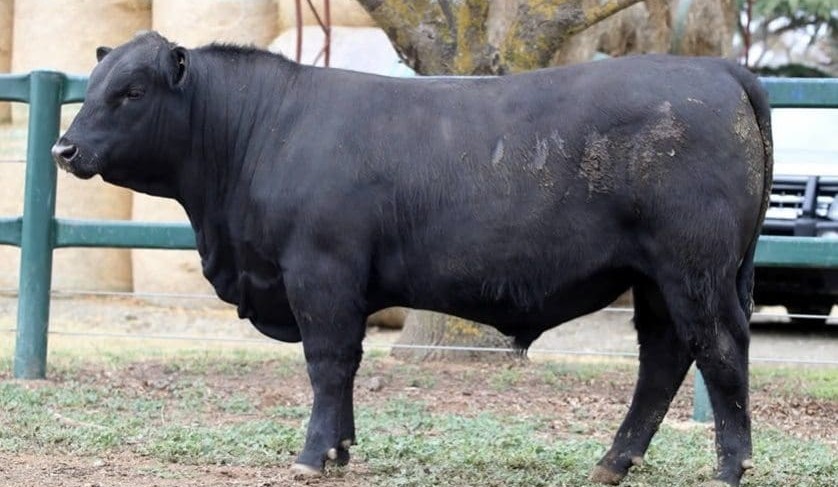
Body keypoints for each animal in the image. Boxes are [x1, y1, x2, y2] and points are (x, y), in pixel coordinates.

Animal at [52, 32, 772, 486]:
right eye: (93, 84)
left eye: (132, 91)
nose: (64, 149)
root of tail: (718, 68)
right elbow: (344, 367)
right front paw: (341, 448)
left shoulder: (320, 271)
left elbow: (328, 362)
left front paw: (312, 454)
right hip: (653, 279)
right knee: (663, 360)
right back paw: (612, 462)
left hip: (694, 271)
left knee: (719, 352)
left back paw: (729, 467)